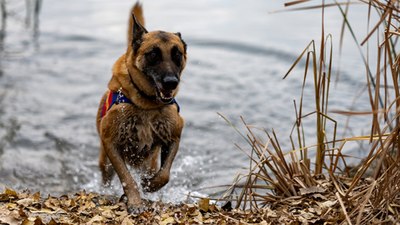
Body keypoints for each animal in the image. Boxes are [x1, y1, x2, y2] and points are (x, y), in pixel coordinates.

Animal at [95, 2, 188, 212]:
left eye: (177, 55)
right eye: (153, 54)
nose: (171, 83)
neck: (147, 104)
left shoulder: (173, 137)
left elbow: (164, 175)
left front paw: (150, 185)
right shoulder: (111, 144)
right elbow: (127, 178)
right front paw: (136, 202)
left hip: (149, 162)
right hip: (105, 162)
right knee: (107, 178)